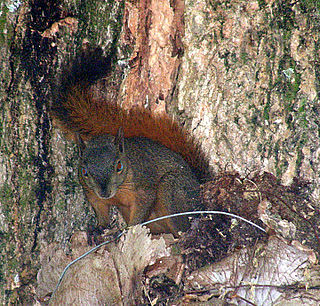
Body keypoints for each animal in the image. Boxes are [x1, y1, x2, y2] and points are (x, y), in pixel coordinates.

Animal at [51, 47, 209, 237]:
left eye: (119, 166)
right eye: (84, 171)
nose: (104, 192)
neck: (118, 191)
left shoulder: (144, 186)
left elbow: (143, 205)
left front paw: (128, 228)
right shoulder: (92, 194)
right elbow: (101, 210)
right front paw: (99, 228)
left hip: (172, 189)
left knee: (181, 225)